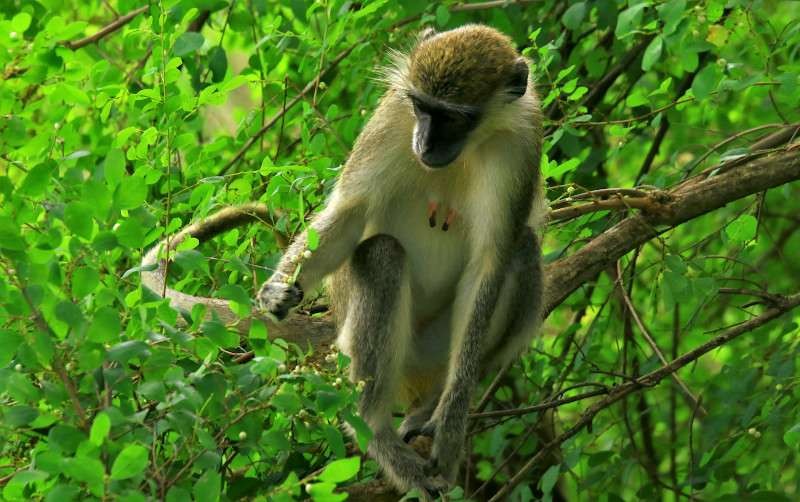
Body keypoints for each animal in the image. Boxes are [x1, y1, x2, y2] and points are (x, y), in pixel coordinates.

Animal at [256, 25, 545, 498]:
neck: (468, 149)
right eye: (422, 107)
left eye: (455, 117)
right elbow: (351, 212)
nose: (424, 143)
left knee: (522, 246)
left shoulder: (519, 143)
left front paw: (451, 421)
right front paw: (277, 289)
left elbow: (491, 261)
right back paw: (374, 429)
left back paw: (428, 407)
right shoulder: (391, 117)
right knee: (382, 254)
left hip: (434, 351)